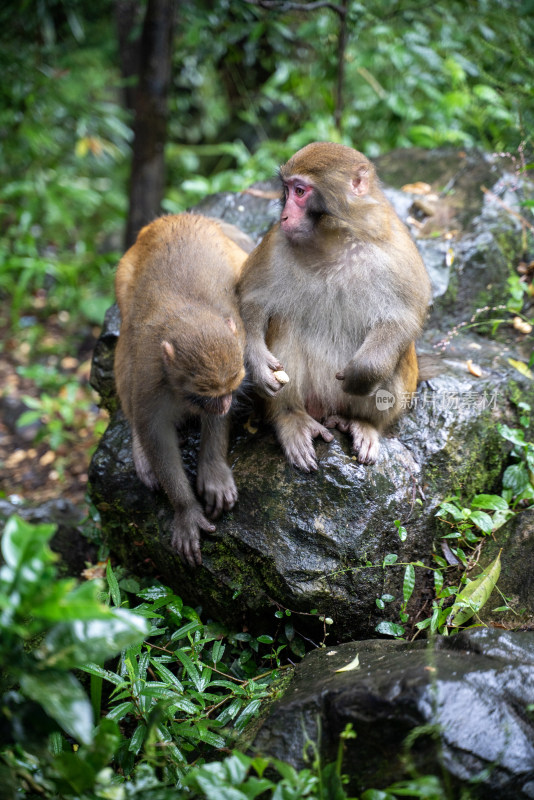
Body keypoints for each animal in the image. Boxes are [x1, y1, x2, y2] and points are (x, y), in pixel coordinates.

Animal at [114, 211, 250, 564]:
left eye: (228, 391)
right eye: (203, 394)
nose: (225, 404)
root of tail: (177, 217)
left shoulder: (238, 343)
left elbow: (214, 424)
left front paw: (213, 472)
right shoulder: (149, 375)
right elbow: (155, 434)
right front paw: (186, 509)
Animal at [241, 141, 434, 472]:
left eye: (300, 191)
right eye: (286, 190)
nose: (285, 217)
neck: (334, 239)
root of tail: (326, 409)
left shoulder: (395, 246)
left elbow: (405, 317)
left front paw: (365, 371)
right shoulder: (277, 242)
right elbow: (251, 298)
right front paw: (257, 362)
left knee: (396, 355)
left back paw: (363, 423)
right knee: (284, 321)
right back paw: (291, 418)